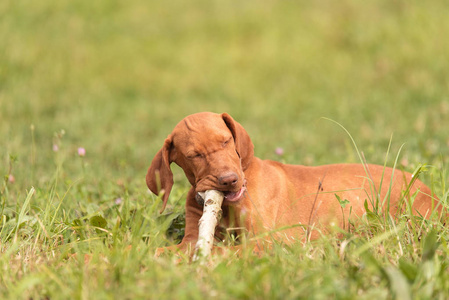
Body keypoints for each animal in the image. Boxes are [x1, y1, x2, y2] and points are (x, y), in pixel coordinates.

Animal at [147, 112, 438, 253]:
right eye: (194, 156)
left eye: (226, 141)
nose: (229, 180)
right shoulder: (191, 239)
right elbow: (166, 251)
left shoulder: (264, 242)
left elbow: (221, 253)